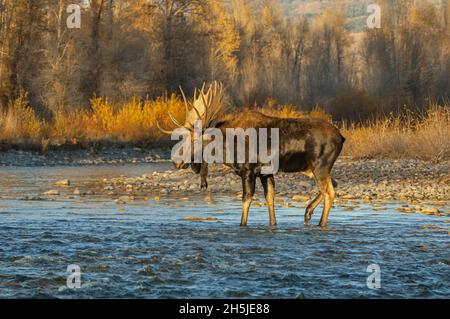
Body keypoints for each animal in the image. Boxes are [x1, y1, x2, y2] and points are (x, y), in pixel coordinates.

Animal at [158, 82, 344, 228]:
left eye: (194, 140)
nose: (176, 162)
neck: (226, 148)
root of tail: (342, 137)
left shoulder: (248, 171)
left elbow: (246, 201)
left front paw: (243, 224)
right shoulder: (265, 173)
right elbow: (270, 199)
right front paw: (273, 224)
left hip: (320, 166)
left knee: (330, 192)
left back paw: (319, 222)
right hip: (314, 168)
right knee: (333, 184)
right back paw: (307, 213)